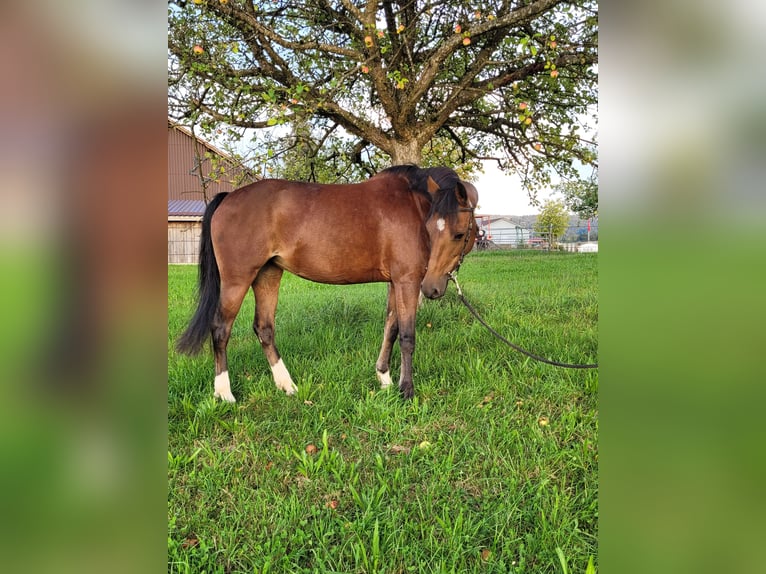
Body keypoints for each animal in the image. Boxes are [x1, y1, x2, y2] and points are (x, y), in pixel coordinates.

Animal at [178, 165, 480, 400]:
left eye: (457, 233)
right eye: (432, 230)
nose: (432, 289)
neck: (411, 203)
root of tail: (229, 197)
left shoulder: (396, 281)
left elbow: (391, 328)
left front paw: (383, 378)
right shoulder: (408, 280)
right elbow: (407, 335)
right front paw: (406, 390)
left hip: (268, 274)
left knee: (264, 328)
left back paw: (287, 386)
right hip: (237, 279)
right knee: (220, 328)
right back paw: (224, 393)